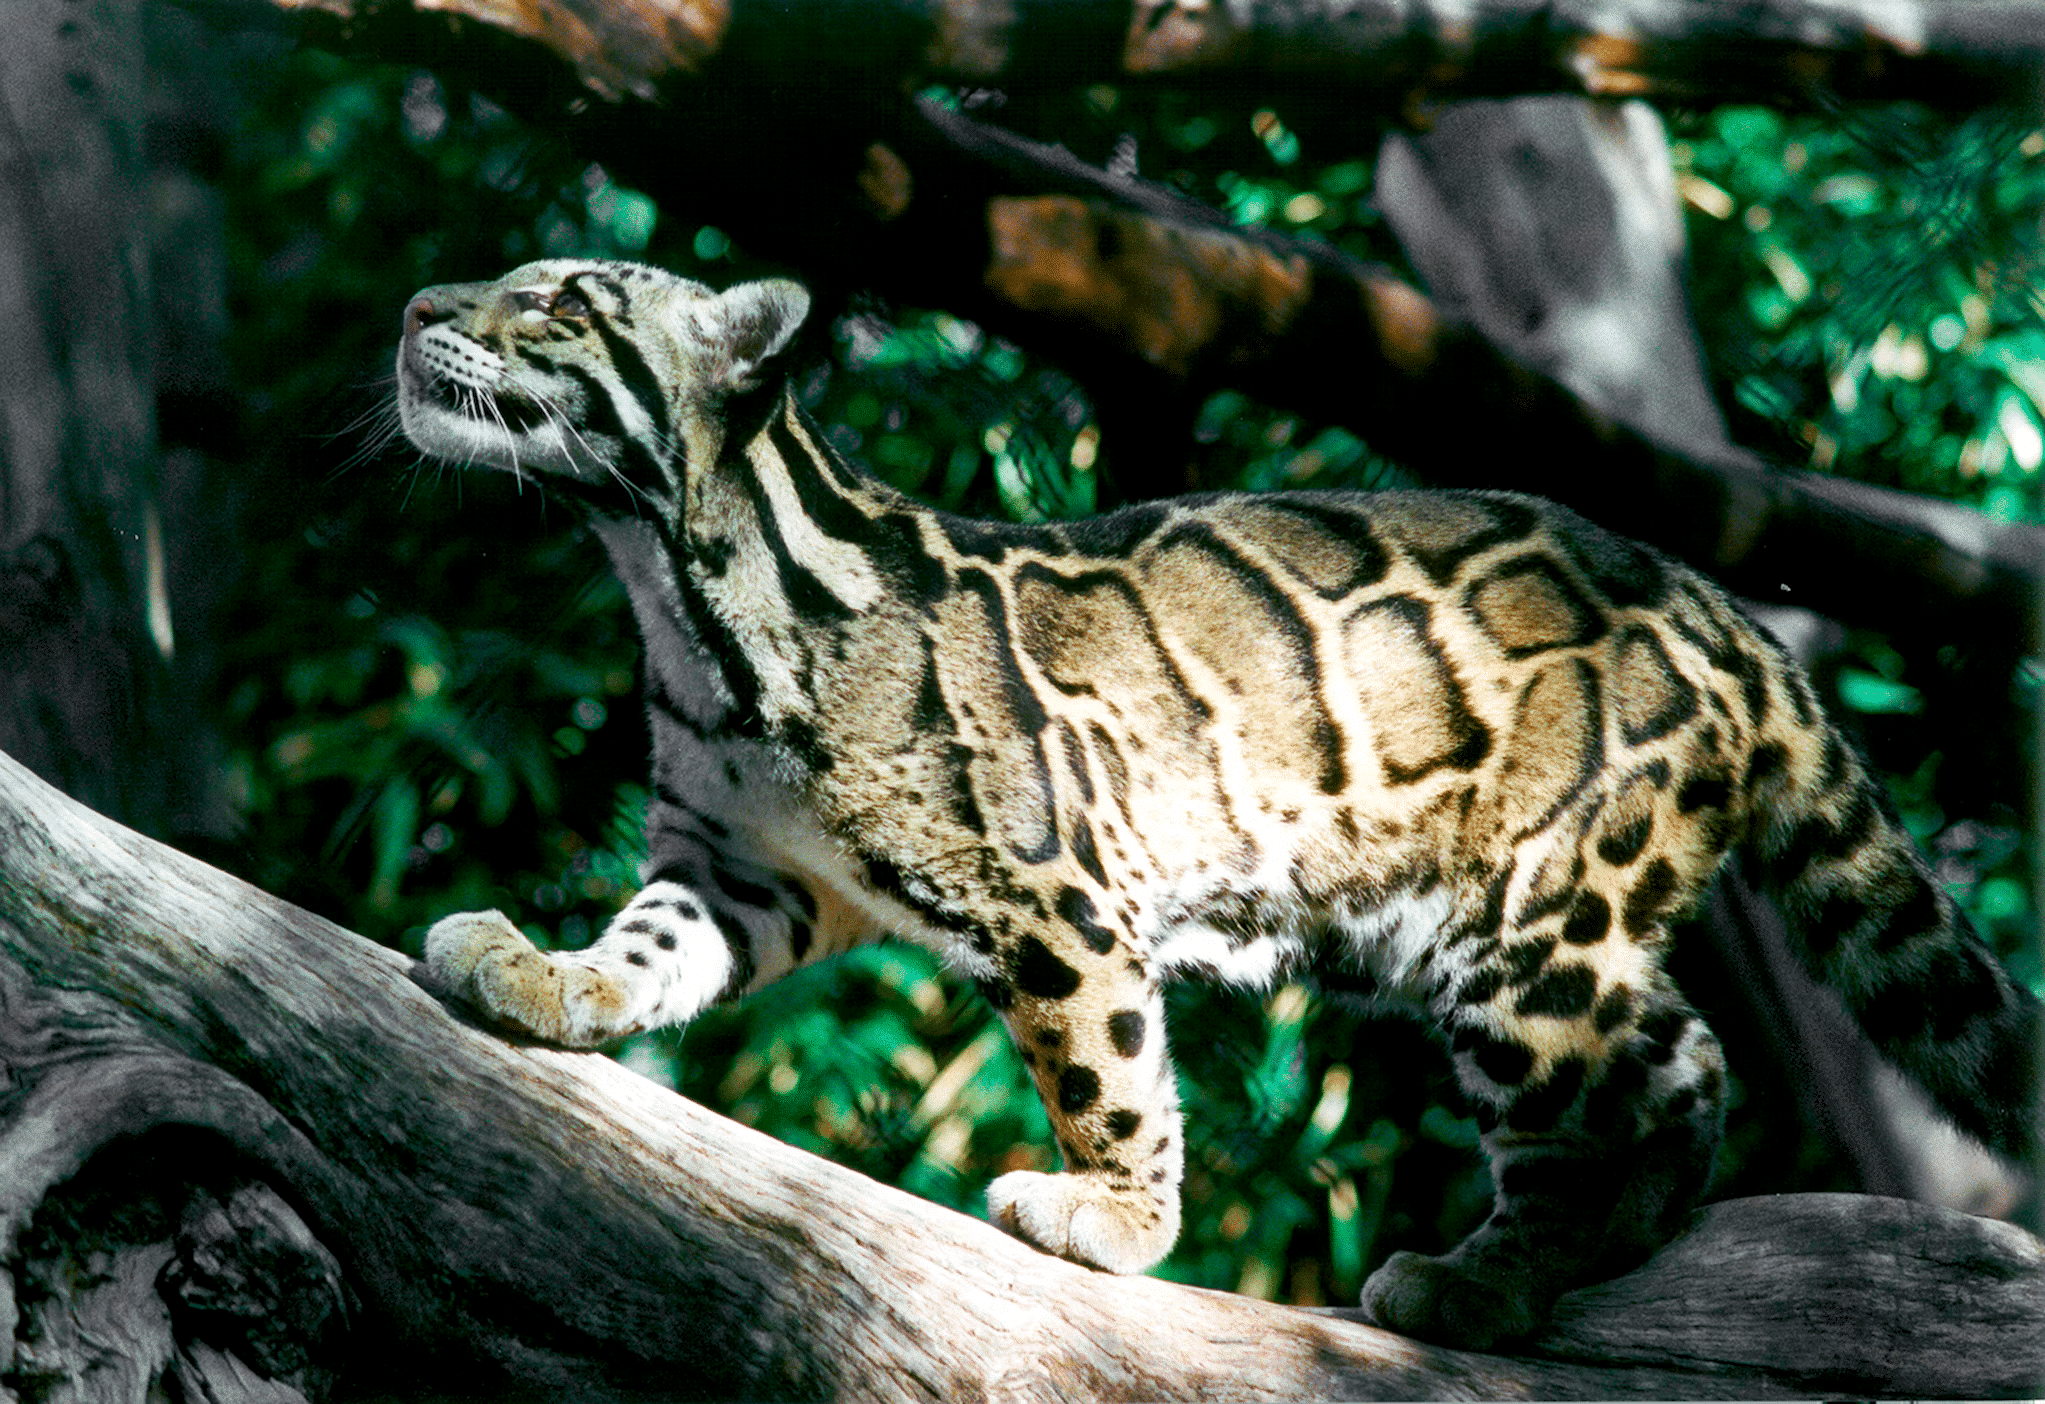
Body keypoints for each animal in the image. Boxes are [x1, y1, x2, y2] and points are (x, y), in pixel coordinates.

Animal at [393, 258, 2039, 1349]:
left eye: (560, 301)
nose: (414, 310)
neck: (679, 591)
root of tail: (1720, 609)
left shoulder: (1053, 883)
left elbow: (1103, 1059)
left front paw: (1118, 1219)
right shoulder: (733, 866)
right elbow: (647, 950)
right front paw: (546, 976)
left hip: (1528, 926)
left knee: (1626, 1086)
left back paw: (1488, 1278)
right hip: (1450, 935)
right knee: (1674, 1060)